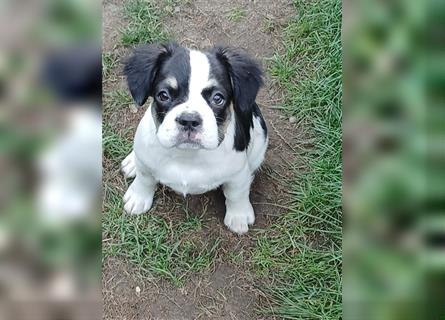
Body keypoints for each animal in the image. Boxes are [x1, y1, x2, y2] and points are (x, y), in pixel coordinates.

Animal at [119, 42, 268, 234]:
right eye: (163, 95)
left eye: (218, 98)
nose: (189, 120)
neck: (187, 155)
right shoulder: (146, 163)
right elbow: (145, 179)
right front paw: (138, 197)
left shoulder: (238, 174)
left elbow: (236, 194)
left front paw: (238, 215)